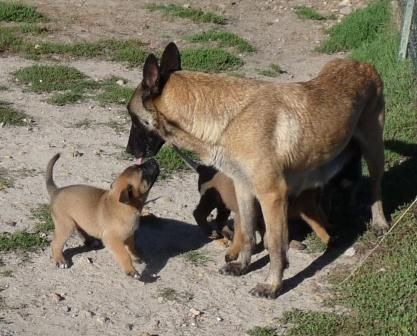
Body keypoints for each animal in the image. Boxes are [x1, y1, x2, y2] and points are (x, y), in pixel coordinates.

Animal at [125, 43, 388, 298]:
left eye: (132, 116)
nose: (128, 150)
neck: (229, 120)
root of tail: (362, 64)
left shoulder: (272, 196)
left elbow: (275, 245)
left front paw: (272, 285)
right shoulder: (243, 188)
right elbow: (248, 232)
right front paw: (243, 265)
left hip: (374, 150)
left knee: (376, 187)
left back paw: (380, 222)